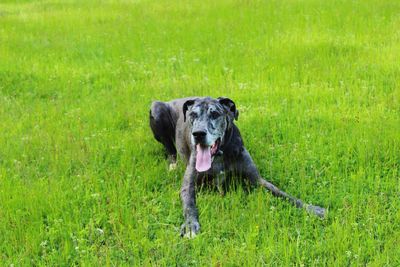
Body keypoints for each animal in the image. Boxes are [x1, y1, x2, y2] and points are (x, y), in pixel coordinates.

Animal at [150, 97, 324, 239]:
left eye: (215, 114)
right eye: (193, 115)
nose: (198, 134)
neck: (219, 155)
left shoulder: (257, 180)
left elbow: (282, 193)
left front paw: (311, 208)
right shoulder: (188, 186)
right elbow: (189, 206)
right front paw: (190, 226)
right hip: (156, 108)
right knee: (170, 149)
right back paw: (172, 165)